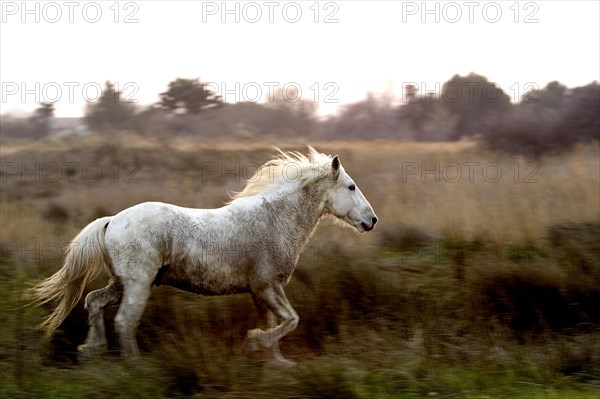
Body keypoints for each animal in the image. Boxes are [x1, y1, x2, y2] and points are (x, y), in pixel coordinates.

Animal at [30, 147, 378, 366]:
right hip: (138, 285)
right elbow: (291, 320)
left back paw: (90, 349)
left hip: (122, 283)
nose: (371, 220)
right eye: (351, 187)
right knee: (124, 322)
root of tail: (111, 220)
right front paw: (254, 343)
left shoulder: (261, 291)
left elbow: (276, 323)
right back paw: (136, 367)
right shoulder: (267, 286)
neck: (274, 219)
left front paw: (276, 363)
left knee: (93, 302)